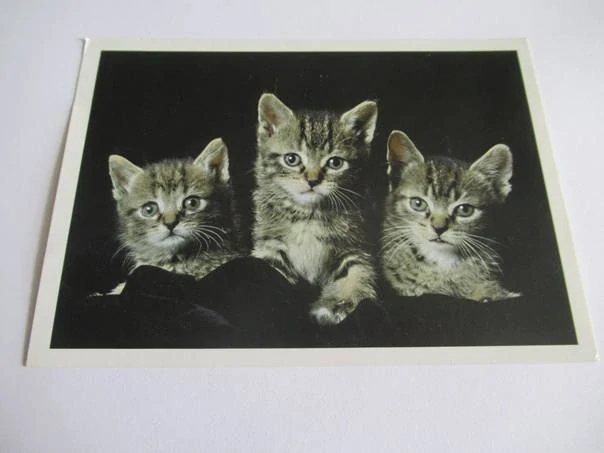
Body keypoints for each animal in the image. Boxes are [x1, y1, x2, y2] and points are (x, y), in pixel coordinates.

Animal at [252, 93, 378, 325]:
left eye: (335, 163)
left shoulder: (355, 245)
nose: (312, 180)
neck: (309, 214)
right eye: (291, 159)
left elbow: (358, 272)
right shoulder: (270, 242)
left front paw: (342, 303)